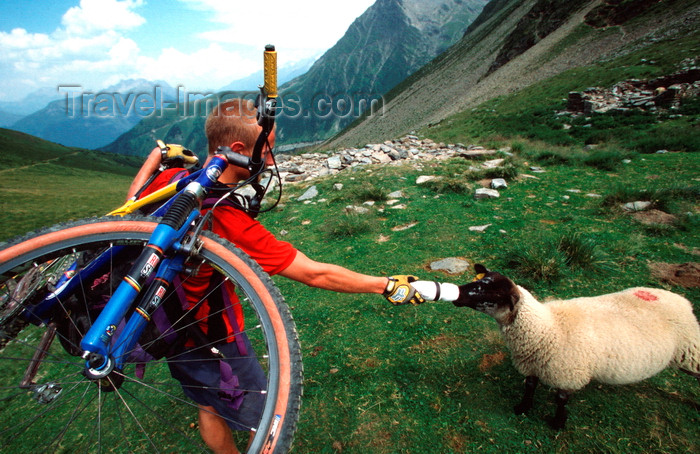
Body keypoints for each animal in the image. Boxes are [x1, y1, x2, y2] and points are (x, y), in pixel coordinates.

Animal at [418, 264, 696, 428]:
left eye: (492, 295)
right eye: (479, 280)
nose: (455, 295)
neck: (546, 329)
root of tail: (677, 297)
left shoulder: (566, 373)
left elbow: (561, 399)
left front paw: (558, 423)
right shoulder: (533, 365)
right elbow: (529, 386)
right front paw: (523, 407)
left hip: (691, 351)